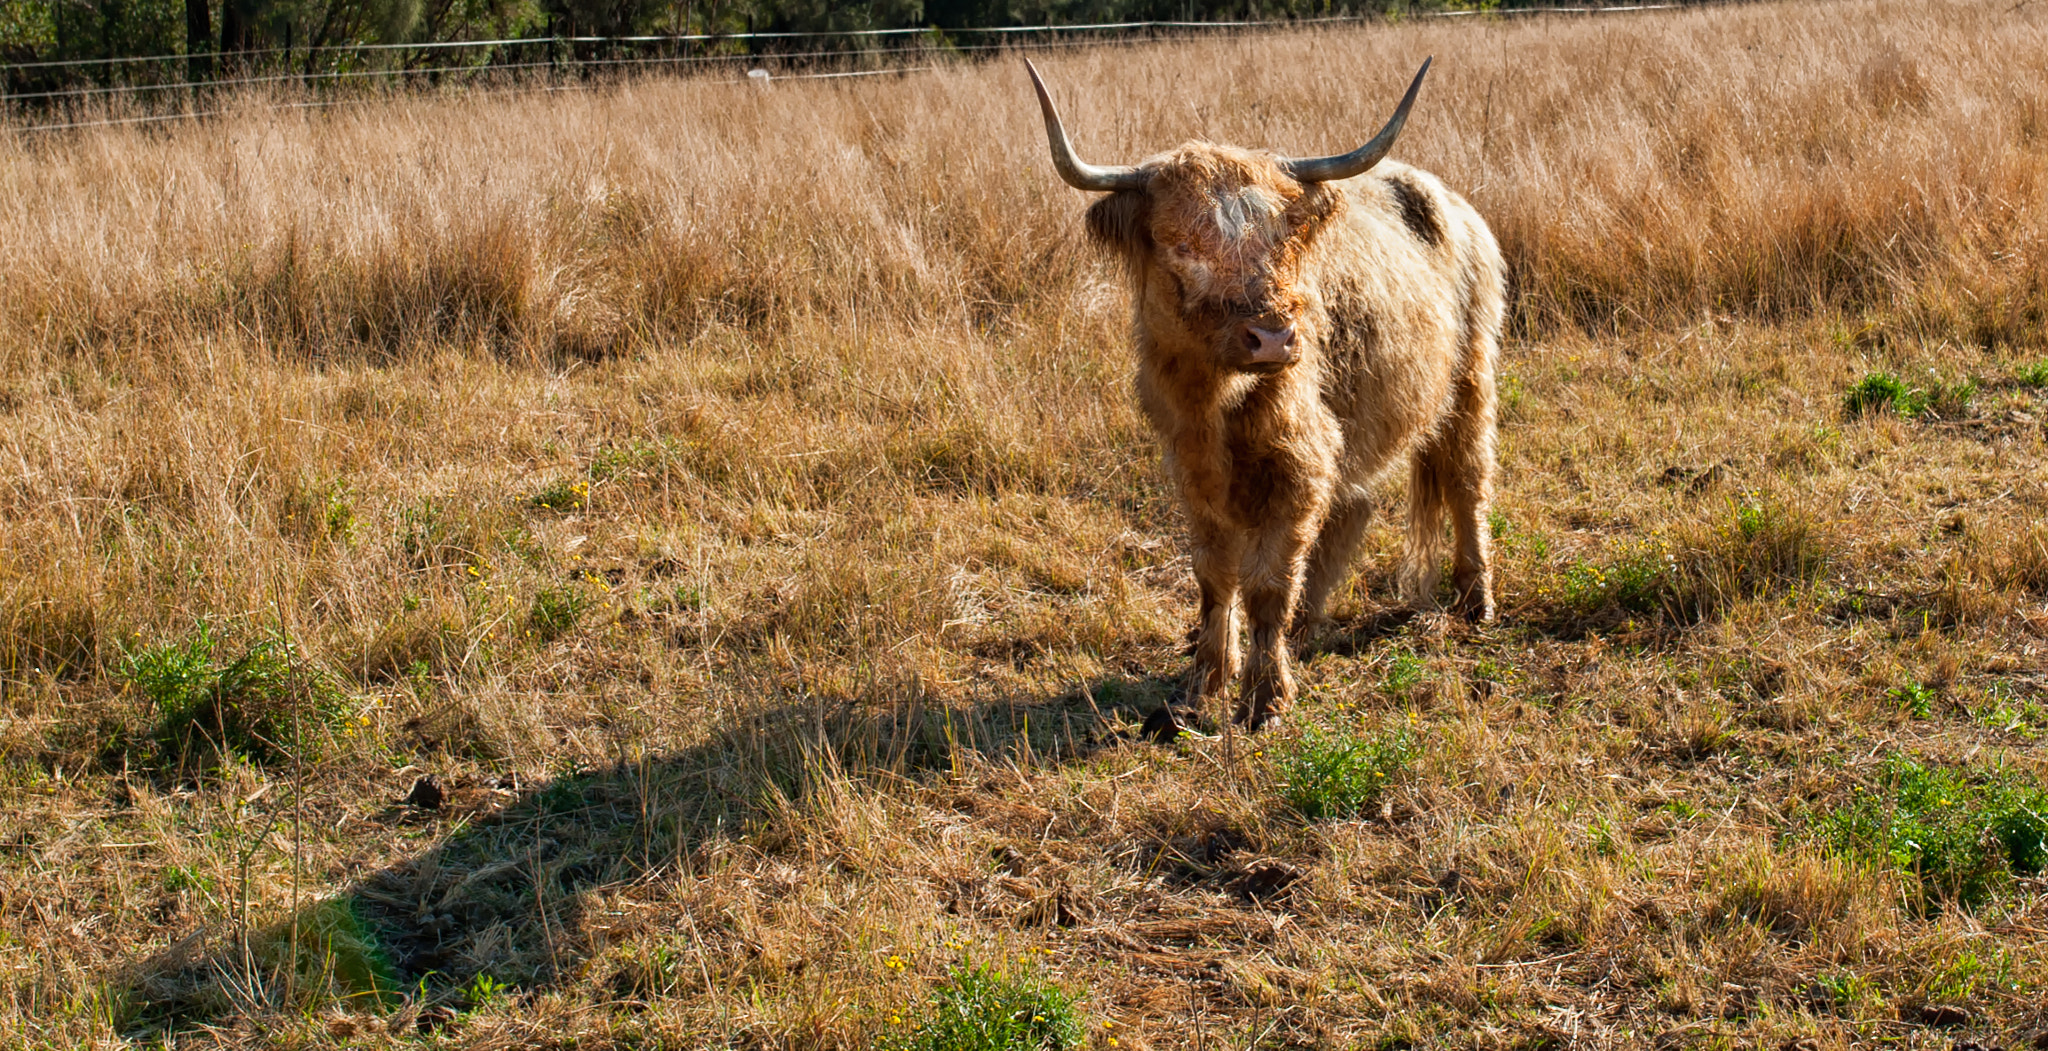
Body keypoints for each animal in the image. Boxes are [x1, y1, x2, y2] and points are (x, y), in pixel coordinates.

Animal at [1025, 57, 1505, 737]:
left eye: (1285, 238)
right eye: (1181, 244)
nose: (1273, 337)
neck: (1218, 403)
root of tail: (1447, 196)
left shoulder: (1296, 461)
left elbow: (1266, 581)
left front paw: (1265, 695)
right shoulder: (1191, 465)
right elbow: (1214, 573)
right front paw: (1203, 680)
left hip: (1471, 376)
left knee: (1467, 480)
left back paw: (1474, 601)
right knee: (1354, 505)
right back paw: (1307, 626)